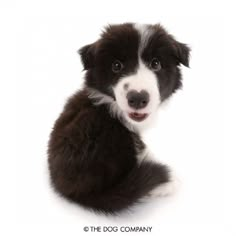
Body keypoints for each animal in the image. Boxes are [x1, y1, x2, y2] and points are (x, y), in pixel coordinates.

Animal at [48, 22, 190, 214]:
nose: (137, 98)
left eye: (156, 64)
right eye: (116, 65)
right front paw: (168, 180)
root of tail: (74, 191)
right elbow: (142, 147)